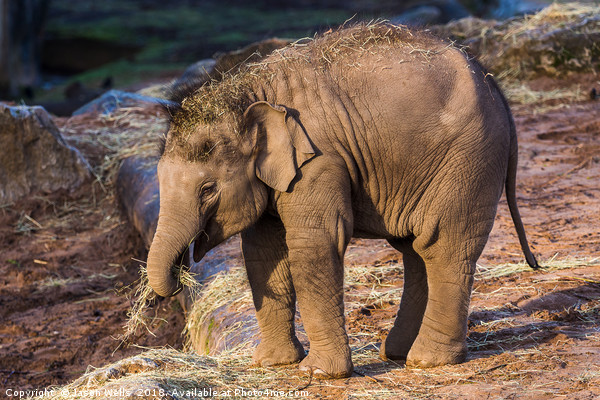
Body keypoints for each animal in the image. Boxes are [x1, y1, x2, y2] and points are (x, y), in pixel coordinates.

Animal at [145, 23, 540, 380]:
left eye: (208, 189)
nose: (181, 276)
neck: (250, 92)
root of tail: (492, 82)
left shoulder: (319, 162)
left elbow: (314, 244)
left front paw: (320, 372)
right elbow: (262, 253)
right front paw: (271, 364)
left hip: (469, 160)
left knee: (442, 243)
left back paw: (427, 361)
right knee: (414, 249)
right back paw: (397, 353)